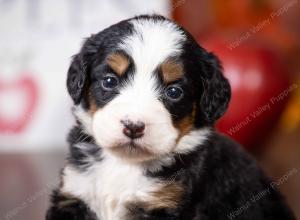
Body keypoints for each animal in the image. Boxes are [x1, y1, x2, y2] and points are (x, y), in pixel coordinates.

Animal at [45, 14, 296, 219]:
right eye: (109, 81)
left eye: (174, 92)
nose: (133, 127)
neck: (124, 164)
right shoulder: (75, 193)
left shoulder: (165, 204)